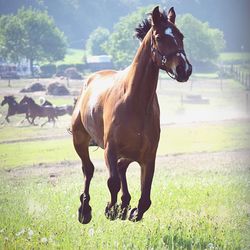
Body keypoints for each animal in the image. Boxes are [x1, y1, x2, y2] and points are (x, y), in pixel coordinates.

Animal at [71, 5, 192, 224]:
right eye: (159, 37)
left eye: (180, 35)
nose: (184, 69)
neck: (135, 102)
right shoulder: (110, 149)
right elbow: (112, 182)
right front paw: (110, 209)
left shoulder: (148, 156)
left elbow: (145, 198)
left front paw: (131, 211)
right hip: (79, 140)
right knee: (89, 170)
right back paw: (85, 210)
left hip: (128, 153)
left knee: (121, 168)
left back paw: (125, 204)